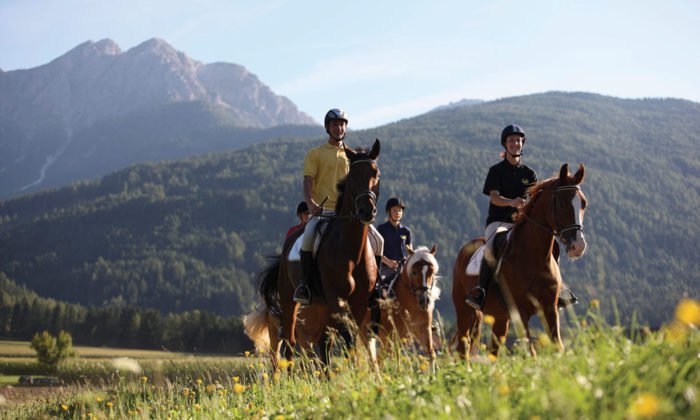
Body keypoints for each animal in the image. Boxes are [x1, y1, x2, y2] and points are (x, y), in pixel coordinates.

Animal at [253, 139, 382, 370]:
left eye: (375, 173)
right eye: (352, 176)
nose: (366, 210)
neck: (352, 251)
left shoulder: (358, 302)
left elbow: (351, 338)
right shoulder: (337, 298)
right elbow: (347, 336)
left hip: (321, 306)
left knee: (324, 342)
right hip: (290, 299)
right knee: (289, 340)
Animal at [452, 164, 588, 358]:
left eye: (583, 204)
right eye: (562, 203)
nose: (578, 246)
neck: (535, 257)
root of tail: (465, 249)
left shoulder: (550, 308)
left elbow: (558, 346)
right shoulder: (520, 312)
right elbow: (530, 351)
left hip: (501, 316)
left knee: (494, 348)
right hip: (464, 309)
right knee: (463, 345)